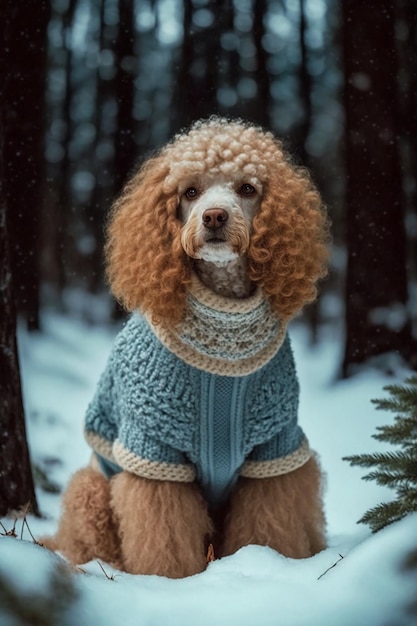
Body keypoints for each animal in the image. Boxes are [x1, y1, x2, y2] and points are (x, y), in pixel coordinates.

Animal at [44, 116, 330, 576]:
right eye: (190, 192)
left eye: (247, 188)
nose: (214, 216)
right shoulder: (154, 452)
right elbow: (163, 532)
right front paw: (166, 581)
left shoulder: (275, 449)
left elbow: (269, 525)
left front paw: (265, 564)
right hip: (91, 489)